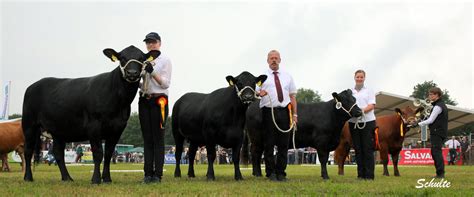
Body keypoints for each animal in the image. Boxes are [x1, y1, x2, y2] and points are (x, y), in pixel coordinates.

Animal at [22, 45, 160, 183]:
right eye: (122, 58)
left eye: (141, 58)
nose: (132, 73)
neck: (118, 100)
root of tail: (32, 86)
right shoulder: (94, 125)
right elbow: (98, 153)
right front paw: (96, 179)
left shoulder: (118, 128)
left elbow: (109, 154)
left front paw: (107, 178)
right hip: (29, 124)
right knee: (28, 151)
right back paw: (28, 177)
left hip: (58, 130)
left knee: (58, 152)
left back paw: (67, 178)